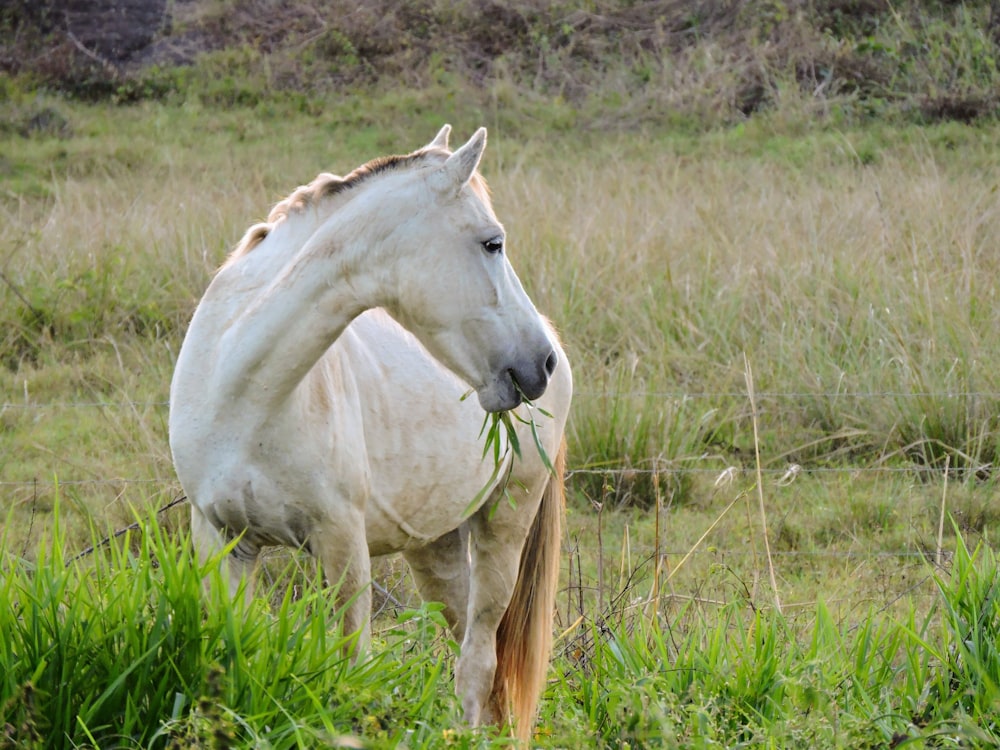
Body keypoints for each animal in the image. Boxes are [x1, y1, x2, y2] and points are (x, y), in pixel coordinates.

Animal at [169, 126, 576, 744]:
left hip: (505, 524)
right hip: (435, 546)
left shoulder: (341, 543)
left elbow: (350, 669)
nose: (540, 363)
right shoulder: (222, 541)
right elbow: (232, 656)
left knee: (478, 661)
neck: (240, 389)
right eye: (492, 243)